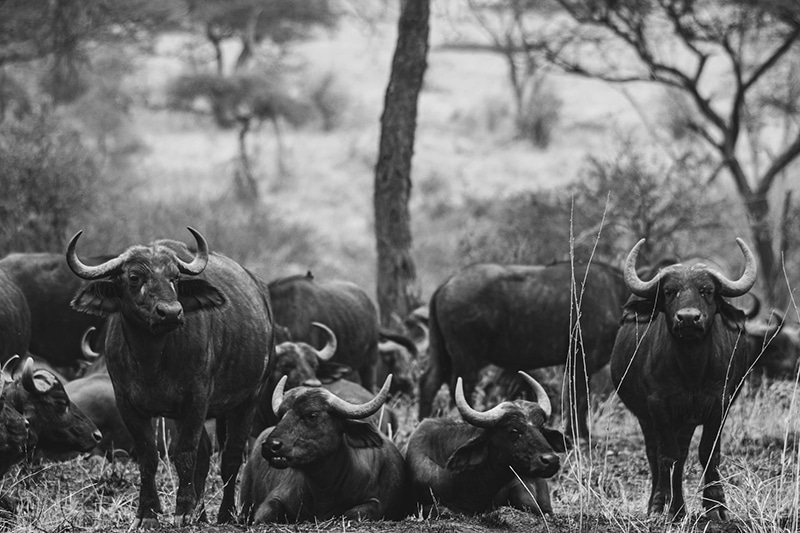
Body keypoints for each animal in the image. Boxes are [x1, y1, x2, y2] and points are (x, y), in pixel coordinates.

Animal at [66, 227, 272, 524]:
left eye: (174, 278)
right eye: (134, 277)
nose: (172, 312)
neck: (151, 359)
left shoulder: (197, 398)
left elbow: (185, 454)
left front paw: (183, 510)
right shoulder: (127, 403)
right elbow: (149, 455)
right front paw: (148, 511)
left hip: (248, 398)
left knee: (231, 456)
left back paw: (224, 513)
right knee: (206, 454)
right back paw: (201, 514)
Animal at [241, 372, 410, 520]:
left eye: (312, 415)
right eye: (282, 414)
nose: (270, 446)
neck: (323, 490)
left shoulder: (375, 503)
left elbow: (352, 513)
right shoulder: (274, 498)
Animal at [422, 258, 628, 436]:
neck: (616, 293)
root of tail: (447, 283)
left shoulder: (572, 363)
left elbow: (573, 397)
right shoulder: (583, 359)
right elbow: (580, 398)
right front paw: (581, 434)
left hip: (442, 353)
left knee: (429, 382)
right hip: (467, 357)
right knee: (461, 389)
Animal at [612, 238, 756, 520]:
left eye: (707, 291)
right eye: (669, 291)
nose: (688, 318)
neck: (692, 370)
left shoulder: (719, 405)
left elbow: (708, 453)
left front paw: (716, 506)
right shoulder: (658, 406)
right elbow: (668, 456)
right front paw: (660, 504)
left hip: (686, 422)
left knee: (682, 453)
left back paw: (679, 509)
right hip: (648, 418)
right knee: (656, 454)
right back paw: (668, 507)